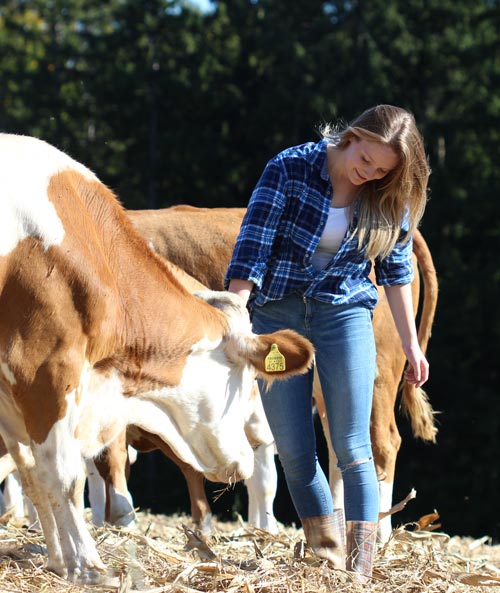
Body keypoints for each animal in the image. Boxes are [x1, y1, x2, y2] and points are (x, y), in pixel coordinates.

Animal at [0, 135, 312, 584]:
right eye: (247, 380)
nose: (251, 449)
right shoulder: (44, 369)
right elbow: (62, 475)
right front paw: (85, 565)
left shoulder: (12, 397)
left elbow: (31, 475)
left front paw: (59, 560)